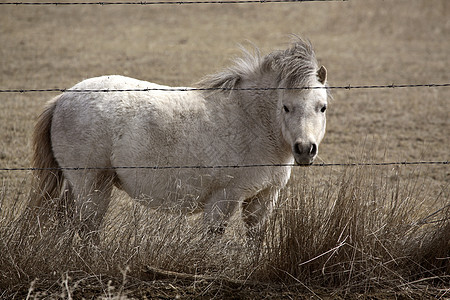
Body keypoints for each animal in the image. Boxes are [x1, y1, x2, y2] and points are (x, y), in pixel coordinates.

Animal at [30, 38, 326, 234]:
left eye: (321, 107)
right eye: (285, 107)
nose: (304, 149)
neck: (251, 119)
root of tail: (62, 99)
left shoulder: (262, 199)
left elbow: (256, 240)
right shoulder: (223, 199)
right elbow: (211, 240)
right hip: (92, 187)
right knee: (85, 229)